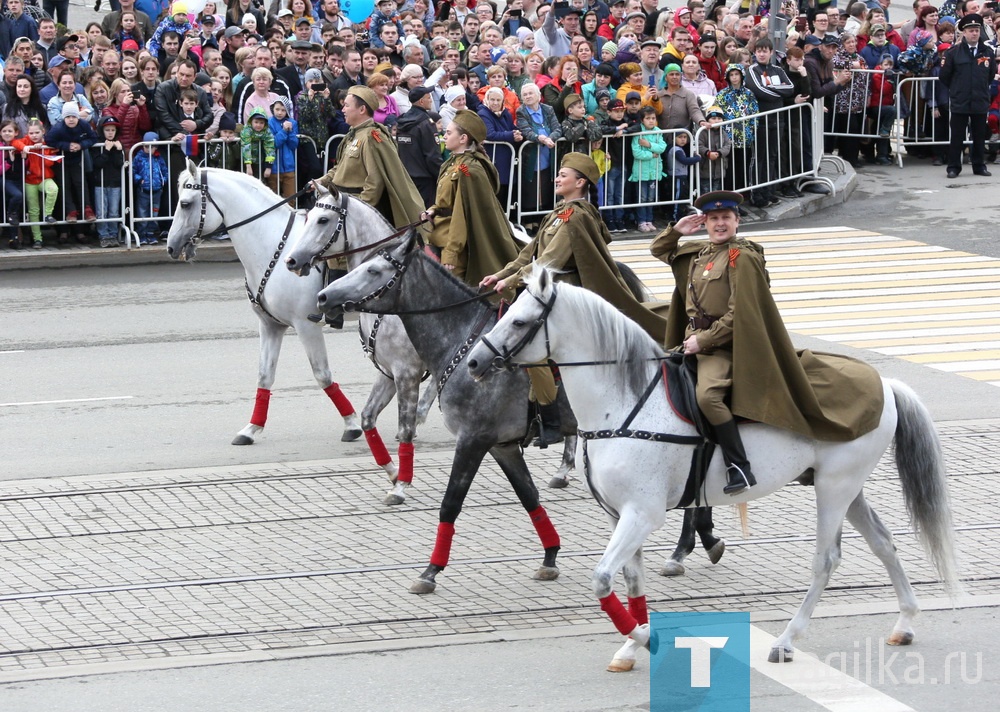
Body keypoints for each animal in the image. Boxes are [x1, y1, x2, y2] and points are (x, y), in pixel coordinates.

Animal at [164, 163, 430, 504]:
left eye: (185, 203)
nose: (171, 247)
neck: (273, 249)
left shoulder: (306, 326)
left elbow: (323, 376)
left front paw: (351, 424)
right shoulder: (270, 326)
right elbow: (264, 377)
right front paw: (251, 429)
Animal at [468, 268, 960, 672]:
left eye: (518, 321)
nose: (473, 361)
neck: (623, 404)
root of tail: (885, 384)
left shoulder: (642, 514)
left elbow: (603, 578)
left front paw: (644, 638)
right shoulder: (618, 514)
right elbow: (630, 580)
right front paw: (632, 646)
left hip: (834, 489)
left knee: (826, 560)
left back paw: (786, 640)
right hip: (847, 489)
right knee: (884, 542)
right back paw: (906, 621)